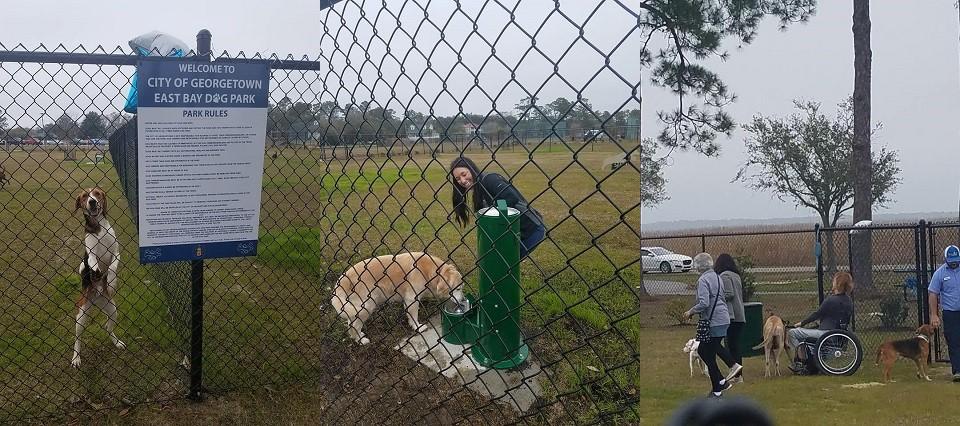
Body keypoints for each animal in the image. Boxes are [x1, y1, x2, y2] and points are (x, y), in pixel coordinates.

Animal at [71, 188, 125, 368]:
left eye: (96, 193)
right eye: (84, 196)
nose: (92, 202)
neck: (99, 227)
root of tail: (96, 299)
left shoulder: (116, 253)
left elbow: (113, 267)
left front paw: (112, 282)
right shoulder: (90, 254)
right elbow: (92, 262)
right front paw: (95, 270)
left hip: (113, 310)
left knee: (107, 327)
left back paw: (117, 342)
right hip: (81, 316)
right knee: (77, 338)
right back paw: (76, 358)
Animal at [332, 251, 464, 344]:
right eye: (458, 289)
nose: (463, 300)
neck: (429, 270)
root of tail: (345, 277)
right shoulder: (412, 298)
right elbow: (414, 316)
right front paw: (418, 327)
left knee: (350, 323)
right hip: (366, 305)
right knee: (354, 325)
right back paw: (361, 340)